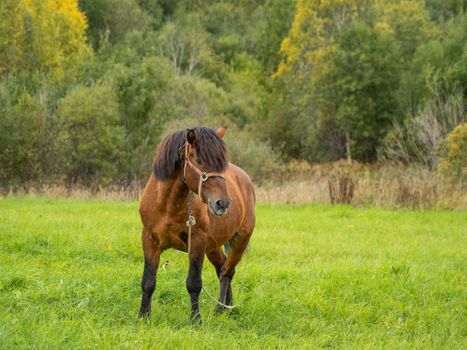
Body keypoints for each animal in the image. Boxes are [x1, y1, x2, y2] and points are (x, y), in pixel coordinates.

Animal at [139, 126, 256, 320]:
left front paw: (196, 319)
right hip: (213, 246)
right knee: (222, 267)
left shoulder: (197, 242)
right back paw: (227, 307)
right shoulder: (149, 240)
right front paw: (143, 316)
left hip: (240, 240)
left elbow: (194, 283)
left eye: (222, 163)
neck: (168, 205)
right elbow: (148, 281)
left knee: (227, 271)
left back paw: (220, 309)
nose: (223, 203)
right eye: (200, 160)